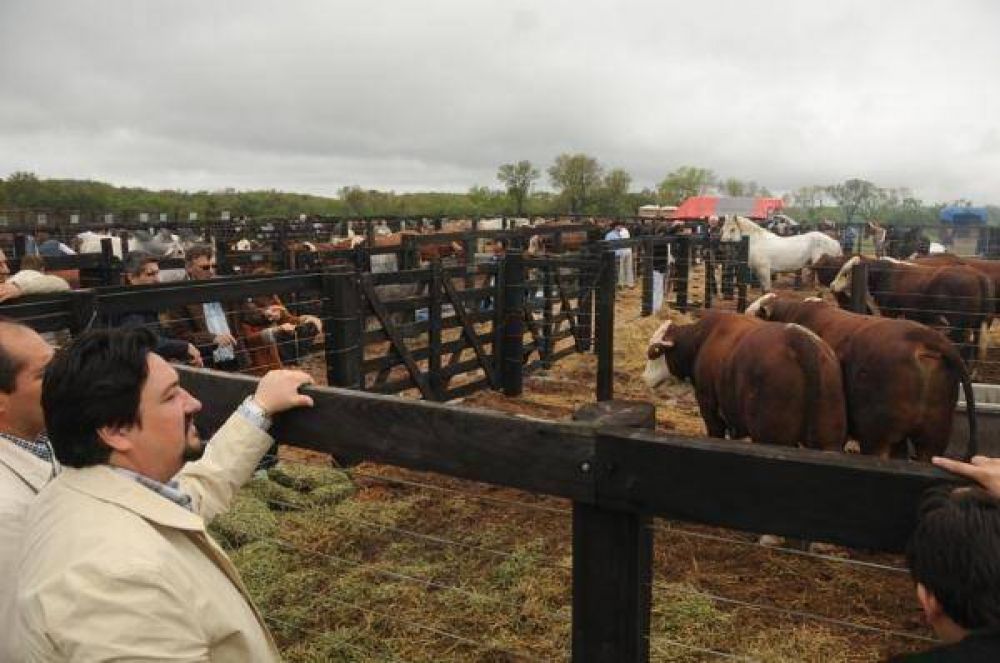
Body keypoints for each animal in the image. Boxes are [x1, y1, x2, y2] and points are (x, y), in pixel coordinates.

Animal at [644, 312, 848, 452]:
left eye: (654, 353)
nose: (644, 378)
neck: (701, 339)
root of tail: (799, 342)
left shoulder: (709, 407)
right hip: (828, 440)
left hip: (773, 436)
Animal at [828, 256, 992, 364]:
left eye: (846, 273)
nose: (832, 285)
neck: (885, 274)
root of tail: (978, 275)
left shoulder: (890, 310)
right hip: (976, 324)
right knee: (975, 345)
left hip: (958, 324)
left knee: (964, 344)